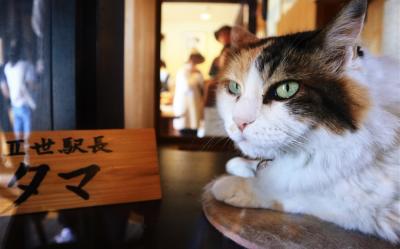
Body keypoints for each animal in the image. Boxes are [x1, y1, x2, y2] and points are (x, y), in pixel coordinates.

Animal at [211, 0, 398, 243]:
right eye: (234, 88)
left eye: (287, 89)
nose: (239, 121)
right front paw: (241, 164)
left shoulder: (361, 204)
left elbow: (289, 189)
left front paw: (230, 184)